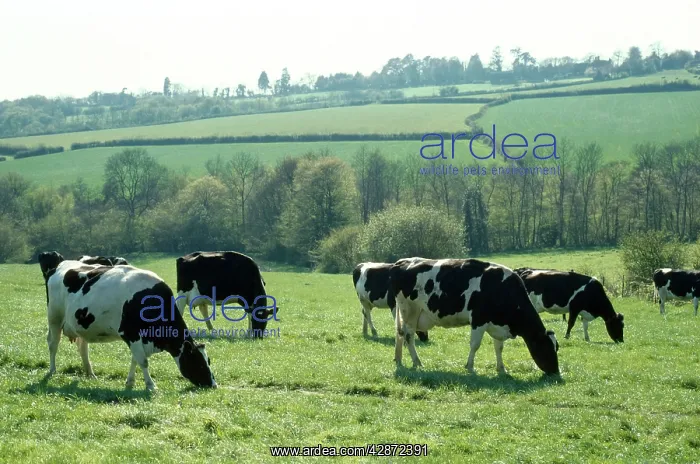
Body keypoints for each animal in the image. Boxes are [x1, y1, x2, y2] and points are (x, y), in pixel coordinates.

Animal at [38, 251, 217, 391]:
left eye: (208, 360)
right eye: (199, 362)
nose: (213, 385)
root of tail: (59, 266)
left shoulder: (139, 338)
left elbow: (135, 360)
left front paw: (130, 382)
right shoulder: (131, 333)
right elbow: (143, 361)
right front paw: (151, 386)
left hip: (80, 324)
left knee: (83, 348)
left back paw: (90, 373)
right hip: (54, 318)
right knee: (53, 344)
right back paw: (52, 371)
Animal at [390, 258, 560, 376]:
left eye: (556, 347)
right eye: (546, 348)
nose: (556, 372)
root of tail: (403, 261)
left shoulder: (497, 324)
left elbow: (499, 347)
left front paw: (502, 369)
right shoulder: (479, 320)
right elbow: (475, 345)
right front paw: (470, 367)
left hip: (405, 313)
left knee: (400, 334)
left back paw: (399, 360)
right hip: (410, 311)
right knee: (409, 336)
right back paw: (417, 362)